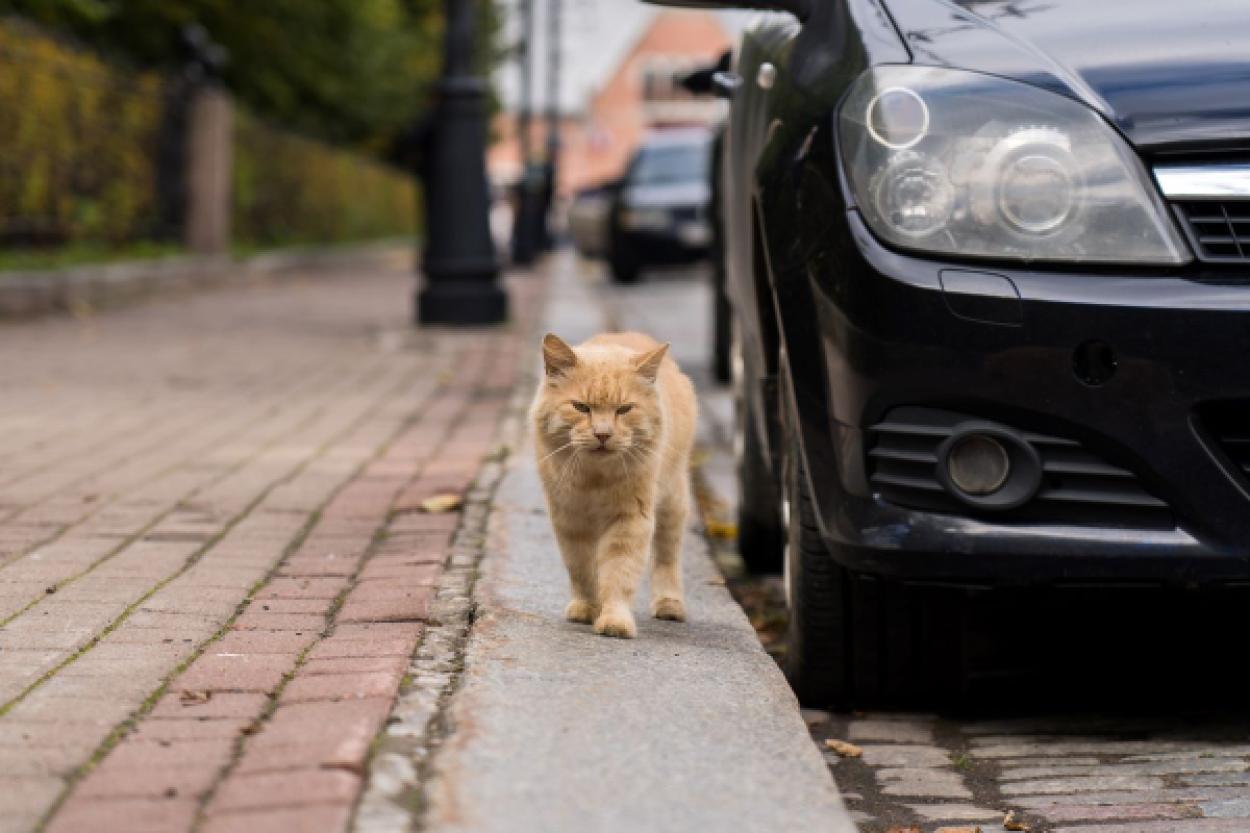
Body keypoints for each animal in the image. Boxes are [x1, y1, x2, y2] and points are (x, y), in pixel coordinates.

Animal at [532, 330, 700, 635]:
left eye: (624, 409)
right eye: (581, 407)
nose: (602, 434)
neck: (595, 479)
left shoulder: (630, 519)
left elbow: (619, 573)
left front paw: (613, 620)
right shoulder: (570, 520)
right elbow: (582, 569)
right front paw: (587, 608)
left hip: (672, 503)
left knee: (667, 557)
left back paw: (669, 604)